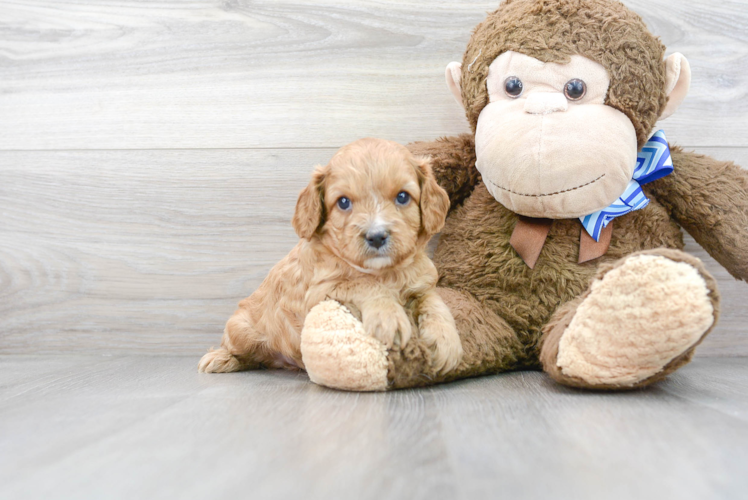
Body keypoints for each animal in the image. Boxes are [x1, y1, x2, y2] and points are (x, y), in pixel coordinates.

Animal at [202, 137, 464, 376]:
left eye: (402, 197)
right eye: (343, 202)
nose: (376, 236)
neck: (384, 271)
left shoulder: (423, 283)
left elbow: (434, 302)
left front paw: (446, 341)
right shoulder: (318, 291)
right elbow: (363, 283)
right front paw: (389, 317)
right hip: (240, 329)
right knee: (240, 350)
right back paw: (221, 358)